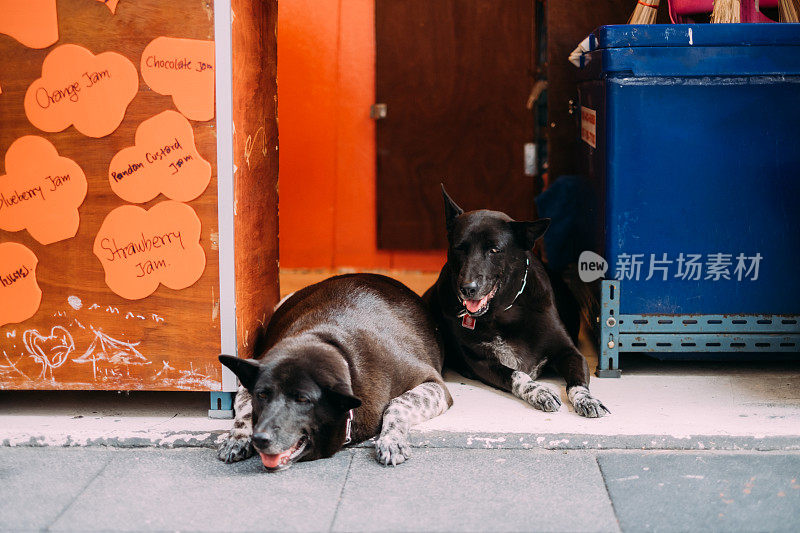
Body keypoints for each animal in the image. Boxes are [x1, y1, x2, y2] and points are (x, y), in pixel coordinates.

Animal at [216, 272, 454, 468]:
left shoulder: (433, 383)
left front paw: (391, 439)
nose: (260, 439)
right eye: (262, 395)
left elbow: (397, 404)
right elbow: (245, 411)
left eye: (303, 400)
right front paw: (237, 437)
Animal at [424, 189, 608, 418]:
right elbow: (518, 375)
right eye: (460, 248)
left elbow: (577, 383)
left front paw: (586, 399)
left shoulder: (570, 352)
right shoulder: (480, 362)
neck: (503, 312)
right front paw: (539, 392)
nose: (467, 288)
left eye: (494, 250)